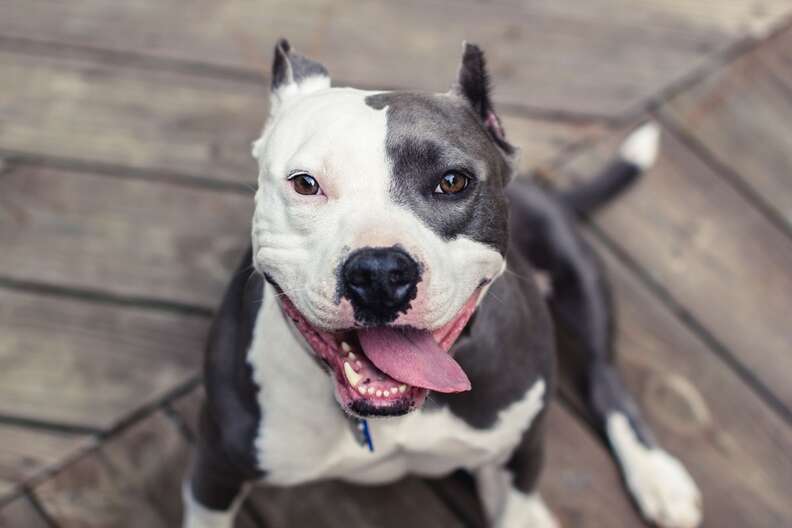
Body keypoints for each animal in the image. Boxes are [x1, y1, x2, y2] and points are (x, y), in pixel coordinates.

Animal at [183, 39, 704, 524]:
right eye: (305, 184)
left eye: (453, 181)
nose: (379, 272)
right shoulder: (214, 471)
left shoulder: (520, 451)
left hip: (576, 272)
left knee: (605, 379)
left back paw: (656, 475)